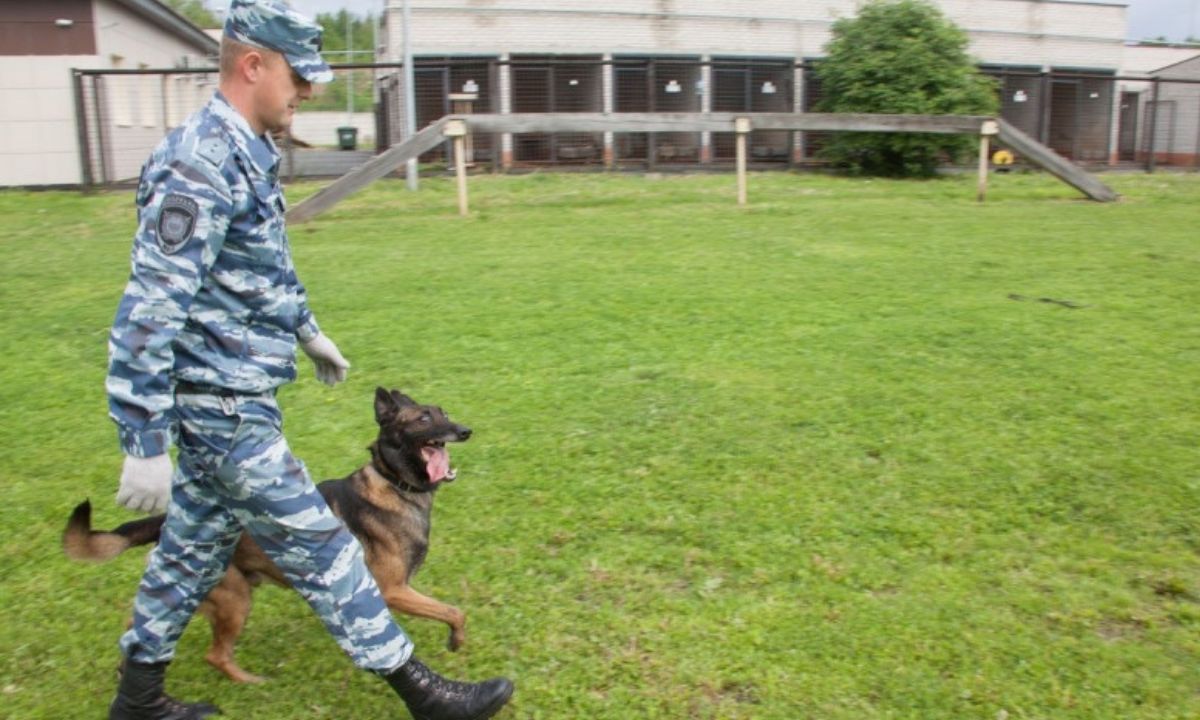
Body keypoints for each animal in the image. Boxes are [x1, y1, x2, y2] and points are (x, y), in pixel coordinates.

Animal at [62, 388, 468, 686]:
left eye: (444, 412)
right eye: (424, 419)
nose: (465, 430)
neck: (393, 483)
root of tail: (168, 521)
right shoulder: (392, 590)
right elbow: (454, 611)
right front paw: (456, 639)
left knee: (139, 627)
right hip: (234, 600)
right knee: (213, 654)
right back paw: (250, 682)